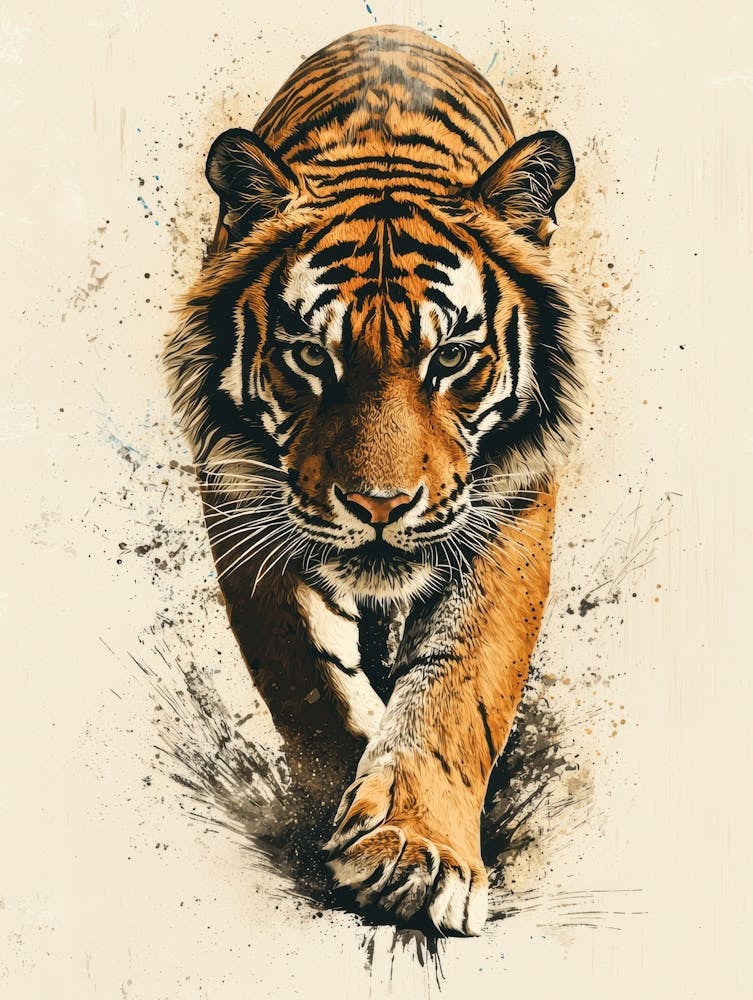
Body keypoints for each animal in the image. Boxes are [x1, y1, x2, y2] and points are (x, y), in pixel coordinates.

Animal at [164, 24, 592, 935]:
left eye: (452, 357)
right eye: (308, 356)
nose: (379, 506)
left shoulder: (511, 506)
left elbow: (460, 685)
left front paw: (413, 852)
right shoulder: (243, 505)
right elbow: (308, 682)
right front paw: (338, 813)